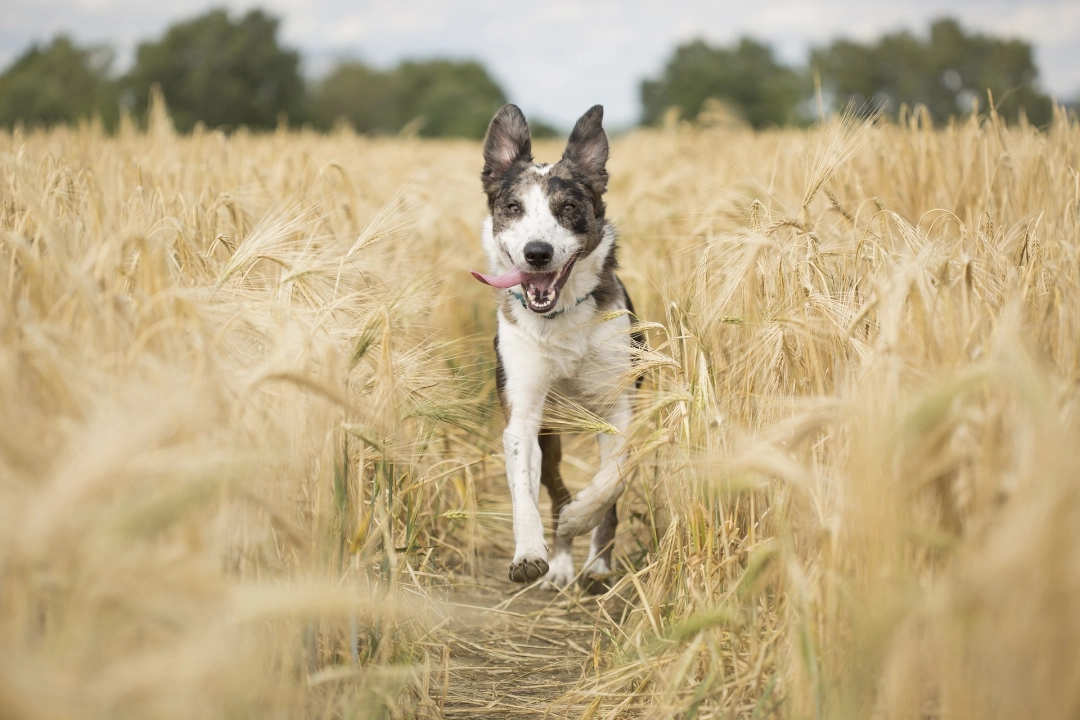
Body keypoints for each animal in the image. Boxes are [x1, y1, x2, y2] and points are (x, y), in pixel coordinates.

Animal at [470, 106, 639, 591]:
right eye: (513, 208)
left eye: (569, 208)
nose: (537, 253)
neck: (559, 319)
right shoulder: (524, 417)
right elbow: (523, 490)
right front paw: (530, 553)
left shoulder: (620, 408)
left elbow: (612, 480)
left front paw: (582, 518)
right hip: (552, 433)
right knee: (555, 487)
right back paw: (561, 563)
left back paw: (595, 562)